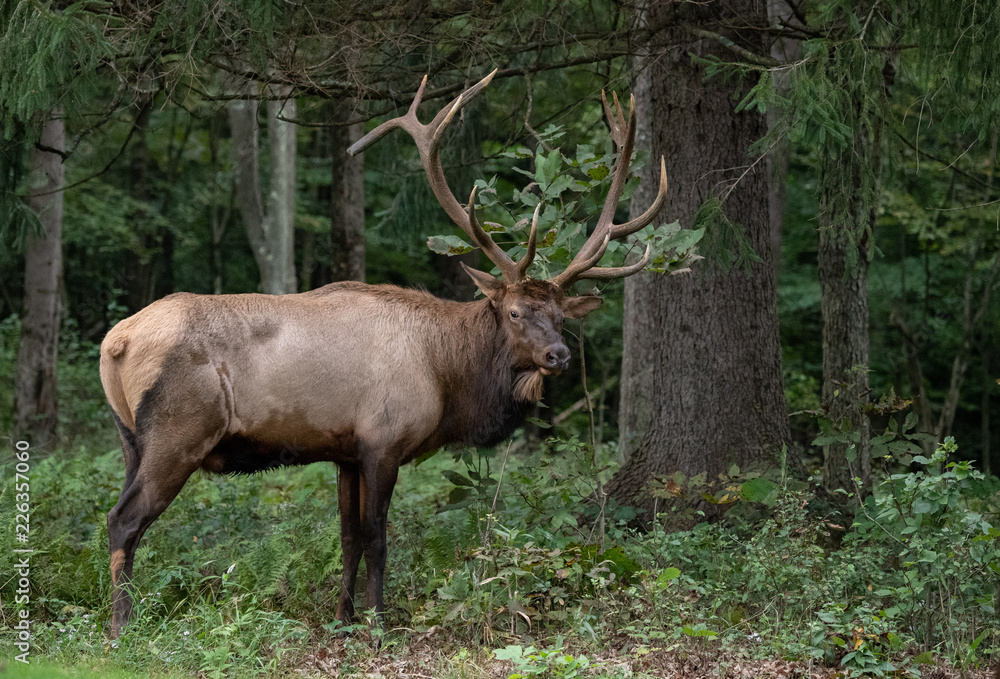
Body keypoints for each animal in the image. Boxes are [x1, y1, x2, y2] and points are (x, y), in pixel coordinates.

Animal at [99, 69, 669, 637]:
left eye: (560, 316)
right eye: (513, 312)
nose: (557, 356)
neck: (446, 375)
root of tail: (114, 342)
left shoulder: (345, 452)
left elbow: (348, 537)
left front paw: (343, 618)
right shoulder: (383, 439)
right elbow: (377, 537)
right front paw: (377, 625)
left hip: (130, 438)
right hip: (179, 431)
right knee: (123, 520)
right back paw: (121, 628)